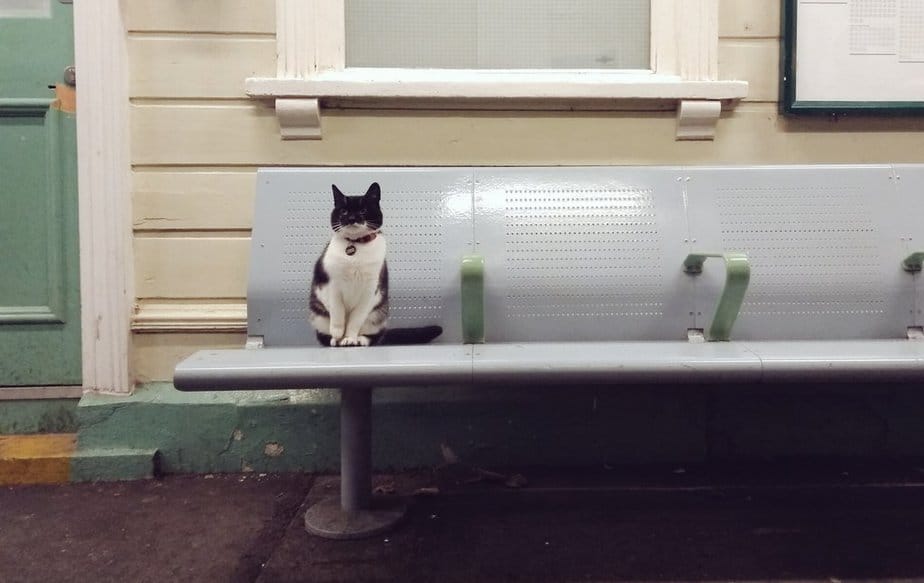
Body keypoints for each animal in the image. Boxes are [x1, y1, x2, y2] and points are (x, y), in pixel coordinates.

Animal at [306, 182, 444, 346]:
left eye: (363, 210)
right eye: (344, 211)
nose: (351, 218)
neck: (355, 246)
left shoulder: (370, 290)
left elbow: (355, 320)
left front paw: (349, 338)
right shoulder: (331, 285)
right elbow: (338, 314)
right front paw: (338, 336)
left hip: (379, 313)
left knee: (375, 335)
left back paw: (360, 340)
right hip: (318, 315)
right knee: (323, 333)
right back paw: (334, 340)